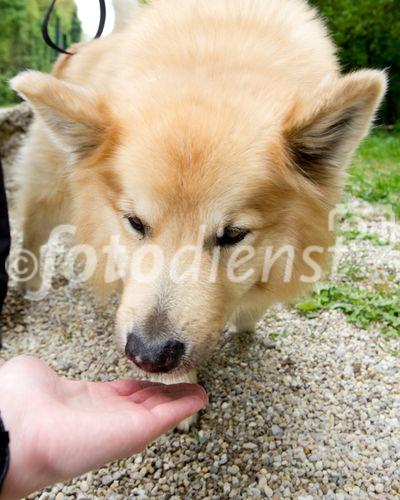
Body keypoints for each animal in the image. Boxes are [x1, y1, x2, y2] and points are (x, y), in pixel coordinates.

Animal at [11, 0, 384, 428]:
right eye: (135, 223)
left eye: (233, 234)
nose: (149, 356)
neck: (215, 59)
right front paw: (178, 387)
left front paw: (246, 321)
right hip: (51, 188)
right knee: (32, 232)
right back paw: (27, 283)